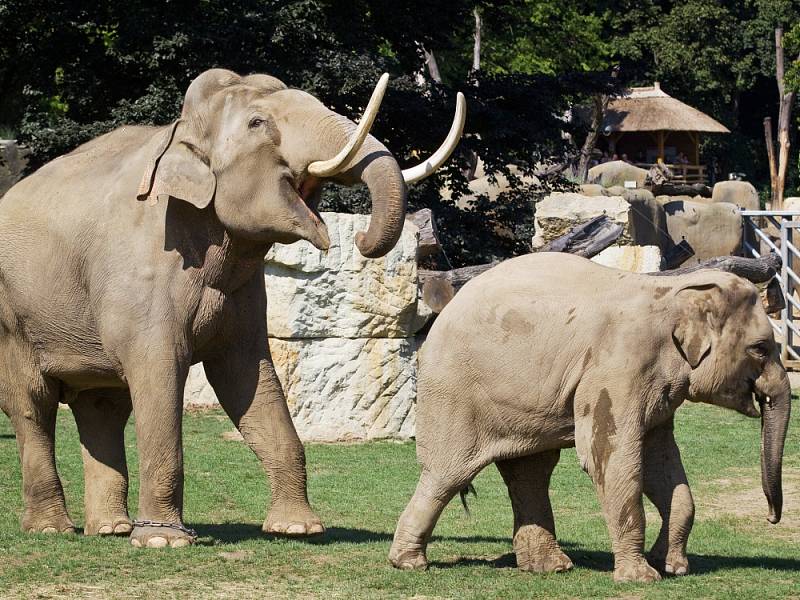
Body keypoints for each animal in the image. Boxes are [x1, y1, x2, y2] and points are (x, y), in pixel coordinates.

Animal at [390, 252, 792, 580]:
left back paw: (550, 568)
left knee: (531, 472)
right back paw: (409, 563)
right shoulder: (617, 370)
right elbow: (609, 456)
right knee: (449, 472)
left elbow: (661, 462)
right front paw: (642, 578)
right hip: (454, 391)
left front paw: (673, 567)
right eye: (760, 348)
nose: (771, 518)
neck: (669, 291)